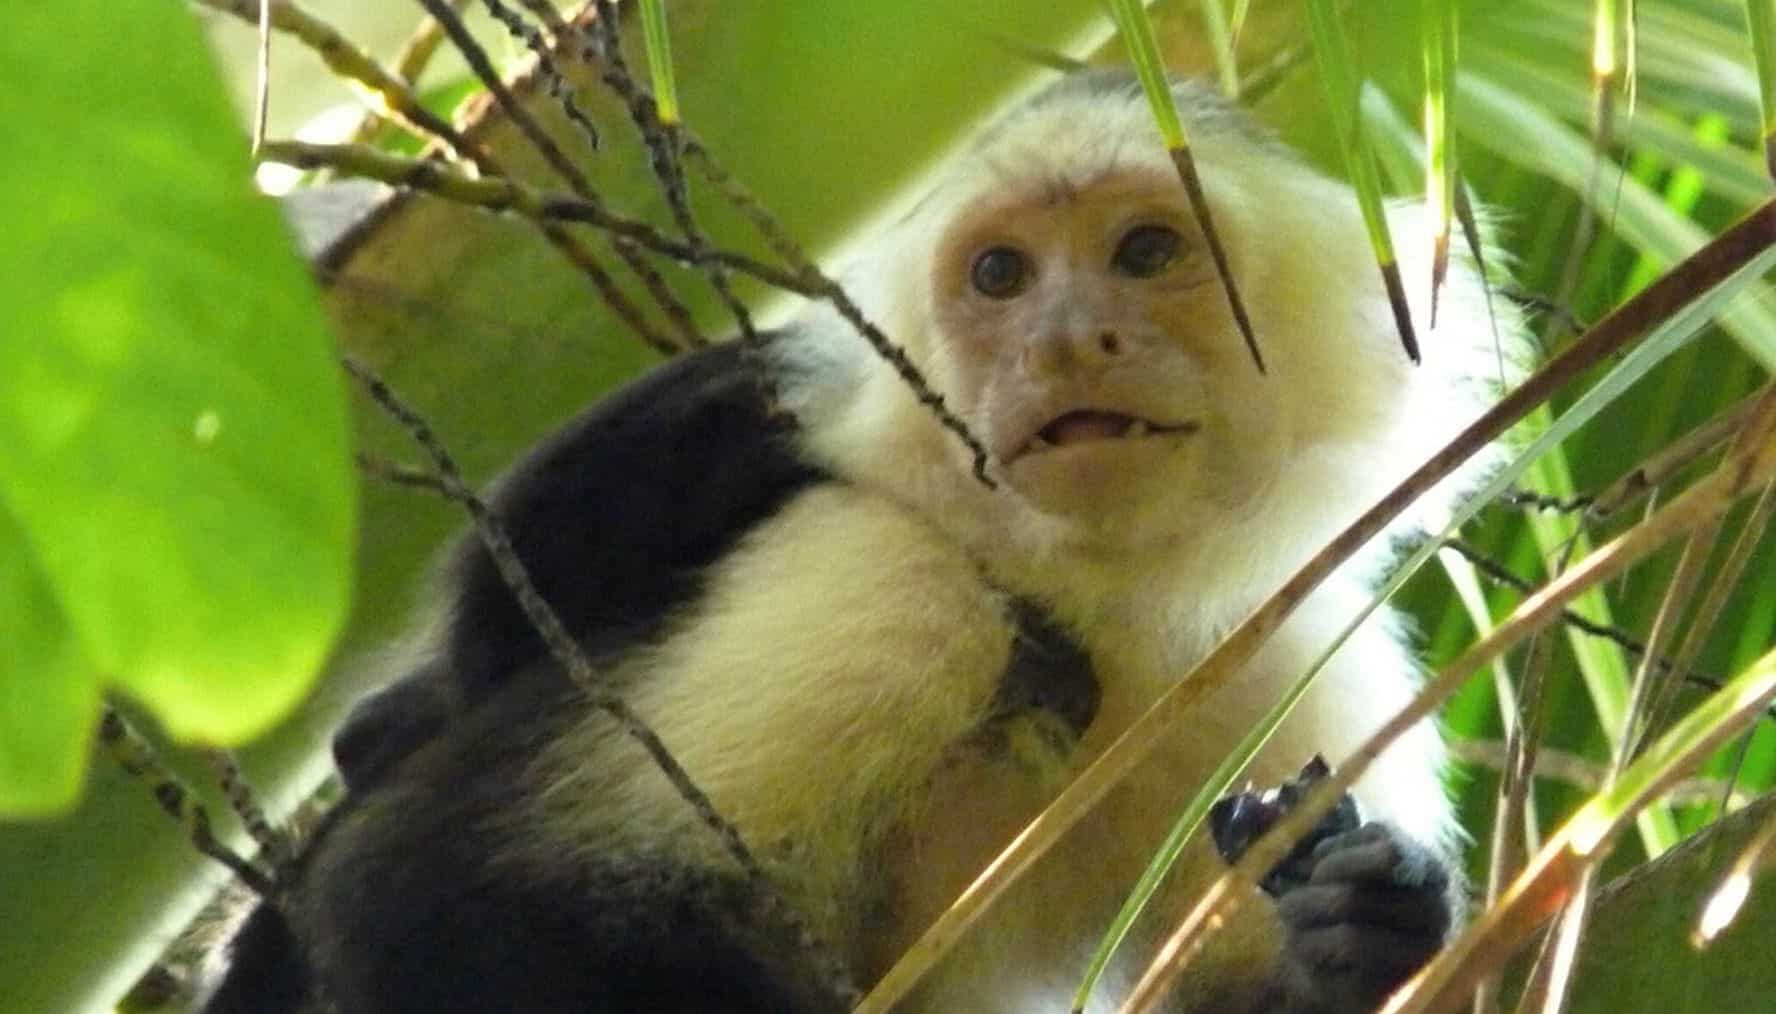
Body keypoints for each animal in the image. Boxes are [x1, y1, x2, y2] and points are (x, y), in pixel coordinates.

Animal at [201, 70, 1523, 1013]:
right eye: (1000, 275)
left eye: (1147, 253)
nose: (1064, 342)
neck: (1106, 593)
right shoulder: (896, 575)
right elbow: (431, 897)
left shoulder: (1282, 658)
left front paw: (1365, 927)